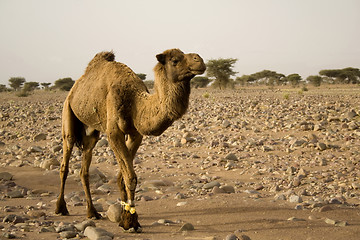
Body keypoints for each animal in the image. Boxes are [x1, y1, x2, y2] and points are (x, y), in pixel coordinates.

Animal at [53, 48, 205, 232]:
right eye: (175, 60)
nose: (199, 60)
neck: (136, 102)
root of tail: (75, 88)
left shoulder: (135, 134)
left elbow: (122, 176)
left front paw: (125, 214)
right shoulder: (114, 133)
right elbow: (130, 177)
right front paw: (130, 221)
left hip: (91, 132)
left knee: (85, 168)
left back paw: (92, 212)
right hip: (67, 112)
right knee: (65, 163)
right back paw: (60, 208)